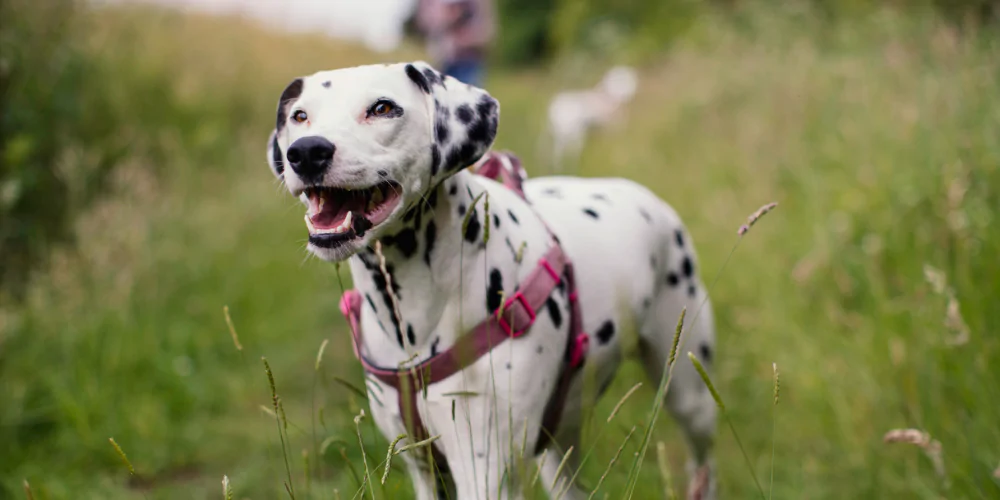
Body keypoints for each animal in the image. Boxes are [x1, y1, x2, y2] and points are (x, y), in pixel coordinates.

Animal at [266, 60, 720, 498]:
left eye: (382, 108)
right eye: (300, 116)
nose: (306, 152)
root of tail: (641, 193)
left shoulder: (483, 470)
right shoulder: (424, 467)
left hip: (690, 395)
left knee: (703, 464)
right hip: (559, 442)